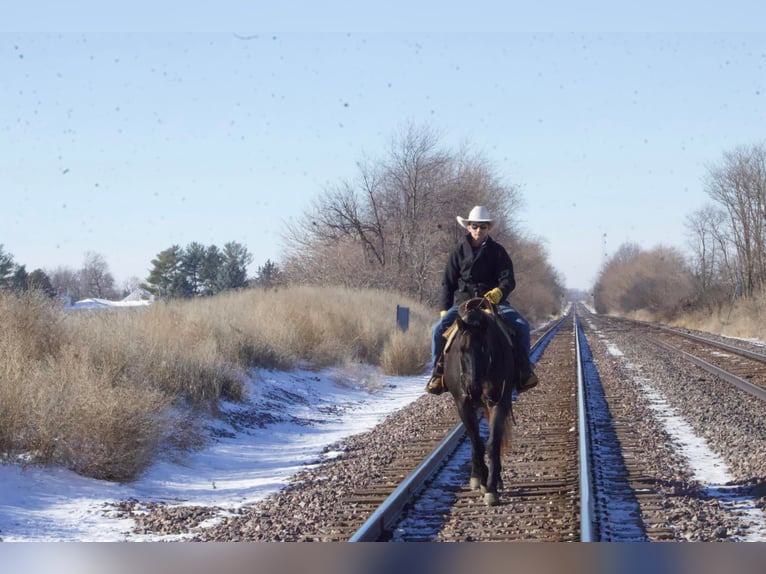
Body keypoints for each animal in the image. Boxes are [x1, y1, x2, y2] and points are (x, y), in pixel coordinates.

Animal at [440, 300, 520, 506]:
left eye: (485, 349)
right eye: (461, 349)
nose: (473, 387)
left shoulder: (499, 402)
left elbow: (493, 443)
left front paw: (491, 486)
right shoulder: (463, 405)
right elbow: (476, 443)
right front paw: (482, 480)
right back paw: (477, 477)